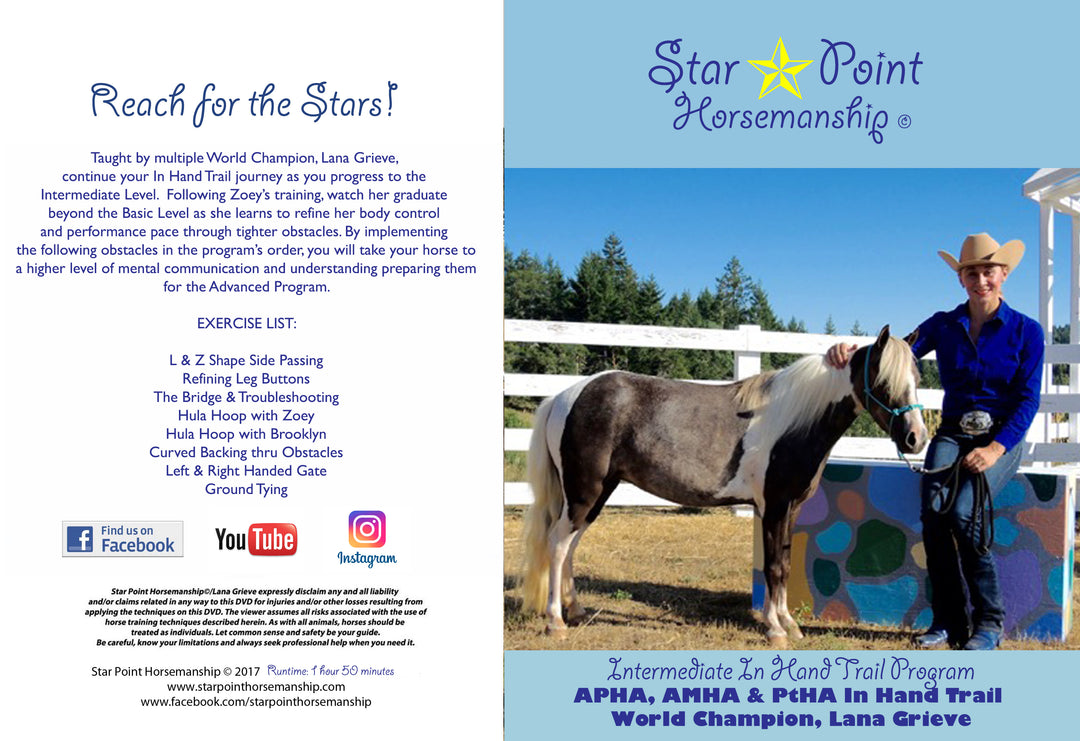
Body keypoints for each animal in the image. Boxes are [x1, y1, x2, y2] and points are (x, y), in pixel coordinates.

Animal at [521, 326, 928, 646]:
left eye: (918, 379)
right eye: (883, 381)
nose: (916, 438)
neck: (792, 421)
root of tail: (564, 396)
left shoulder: (791, 508)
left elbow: (785, 562)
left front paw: (789, 624)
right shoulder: (773, 506)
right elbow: (773, 567)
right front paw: (775, 629)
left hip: (595, 494)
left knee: (569, 545)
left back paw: (576, 611)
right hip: (585, 492)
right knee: (558, 544)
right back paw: (556, 621)